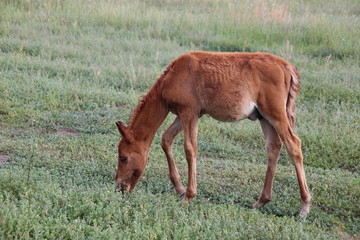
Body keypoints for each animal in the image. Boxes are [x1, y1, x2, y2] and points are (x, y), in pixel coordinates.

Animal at [116, 51, 312, 217]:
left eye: (123, 158)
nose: (119, 187)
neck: (171, 76)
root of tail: (285, 66)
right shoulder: (186, 114)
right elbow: (166, 139)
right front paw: (179, 188)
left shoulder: (189, 112)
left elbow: (190, 148)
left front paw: (188, 195)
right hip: (264, 117)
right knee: (273, 147)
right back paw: (261, 201)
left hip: (276, 114)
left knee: (293, 145)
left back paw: (304, 206)